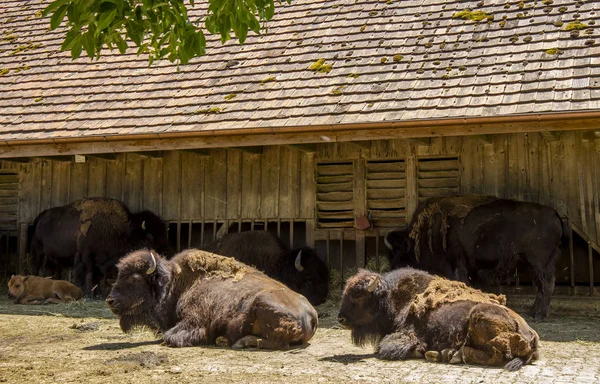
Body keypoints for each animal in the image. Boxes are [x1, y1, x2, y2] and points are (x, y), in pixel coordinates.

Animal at [31, 196, 170, 296]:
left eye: (164, 238)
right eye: (148, 239)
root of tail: (41, 217)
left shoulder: (100, 260)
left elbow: (97, 276)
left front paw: (97, 294)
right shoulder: (87, 255)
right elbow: (90, 273)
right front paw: (90, 295)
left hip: (52, 256)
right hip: (38, 250)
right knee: (36, 265)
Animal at [104, 249, 318, 352]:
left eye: (134, 279)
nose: (110, 301)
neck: (177, 282)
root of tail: (311, 314)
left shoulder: (194, 320)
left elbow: (170, 336)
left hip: (262, 303)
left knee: (279, 343)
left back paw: (238, 342)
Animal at [338, 268, 540, 370]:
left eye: (358, 296)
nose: (340, 319)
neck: (394, 297)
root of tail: (530, 334)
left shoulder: (407, 335)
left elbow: (385, 349)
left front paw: (419, 351)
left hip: (479, 317)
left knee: (496, 355)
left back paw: (449, 355)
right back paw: (444, 354)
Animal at [384, 196, 572, 320]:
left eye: (397, 253)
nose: (393, 271)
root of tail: (554, 214)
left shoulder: (456, 263)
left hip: (539, 263)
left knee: (546, 285)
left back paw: (539, 315)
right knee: (544, 286)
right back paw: (534, 313)